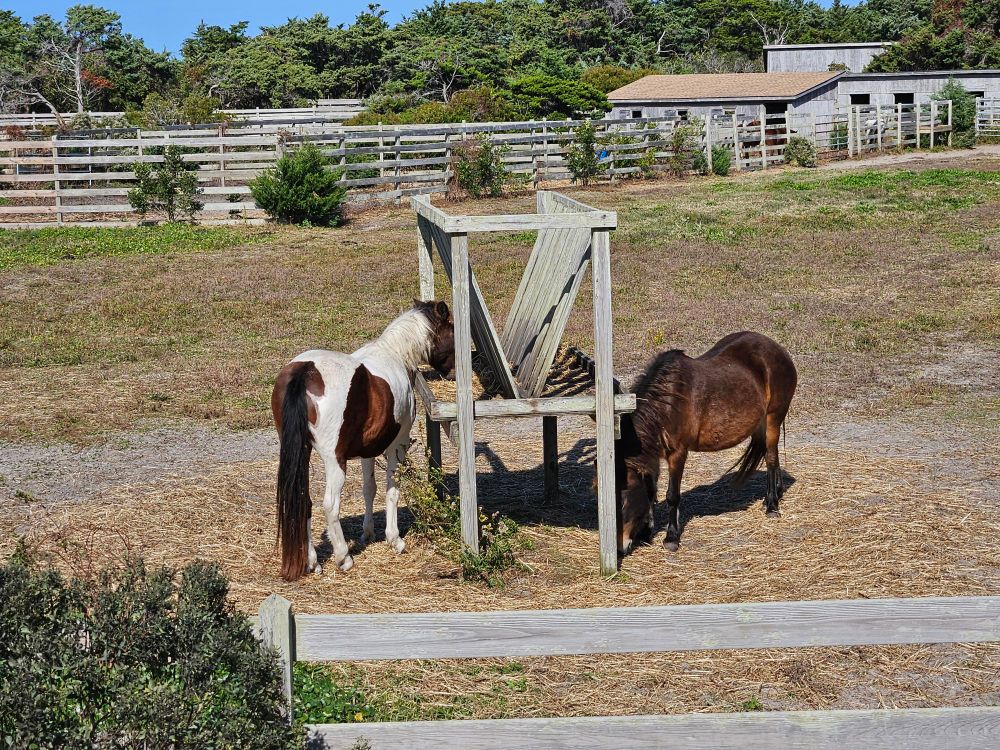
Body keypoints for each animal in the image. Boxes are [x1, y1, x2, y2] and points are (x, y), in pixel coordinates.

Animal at [271, 300, 455, 581]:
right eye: (453, 330)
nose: (454, 373)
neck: (395, 355)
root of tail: (305, 372)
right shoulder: (396, 447)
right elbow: (392, 491)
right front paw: (394, 539)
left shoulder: (368, 451)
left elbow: (370, 489)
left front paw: (367, 533)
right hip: (334, 461)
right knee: (330, 505)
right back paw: (343, 557)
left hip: (301, 453)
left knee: (305, 501)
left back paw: (313, 562)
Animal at [614, 331, 797, 556]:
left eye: (623, 501)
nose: (620, 548)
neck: (667, 403)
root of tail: (778, 349)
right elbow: (650, 491)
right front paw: (647, 531)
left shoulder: (677, 453)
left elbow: (672, 495)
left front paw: (671, 537)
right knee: (773, 454)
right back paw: (774, 495)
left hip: (773, 418)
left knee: (771, 458)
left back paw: (772, 505)